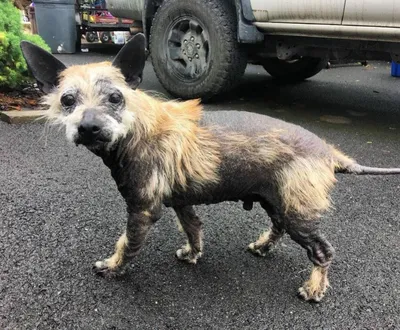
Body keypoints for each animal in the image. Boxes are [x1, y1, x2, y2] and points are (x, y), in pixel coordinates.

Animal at [20, 33, 400, 302]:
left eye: (115, 98)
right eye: (67, 101)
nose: (88, 128)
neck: (135, 128)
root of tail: (329, 151)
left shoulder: (142, 210)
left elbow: (126, 243)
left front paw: (114, 268)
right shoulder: (180, 202)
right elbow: (193, 228)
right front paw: (193, 253)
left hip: (299, 215)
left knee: (323, 251)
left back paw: (315, 288)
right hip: (277, 200)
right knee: (278, 226)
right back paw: (264, 246)